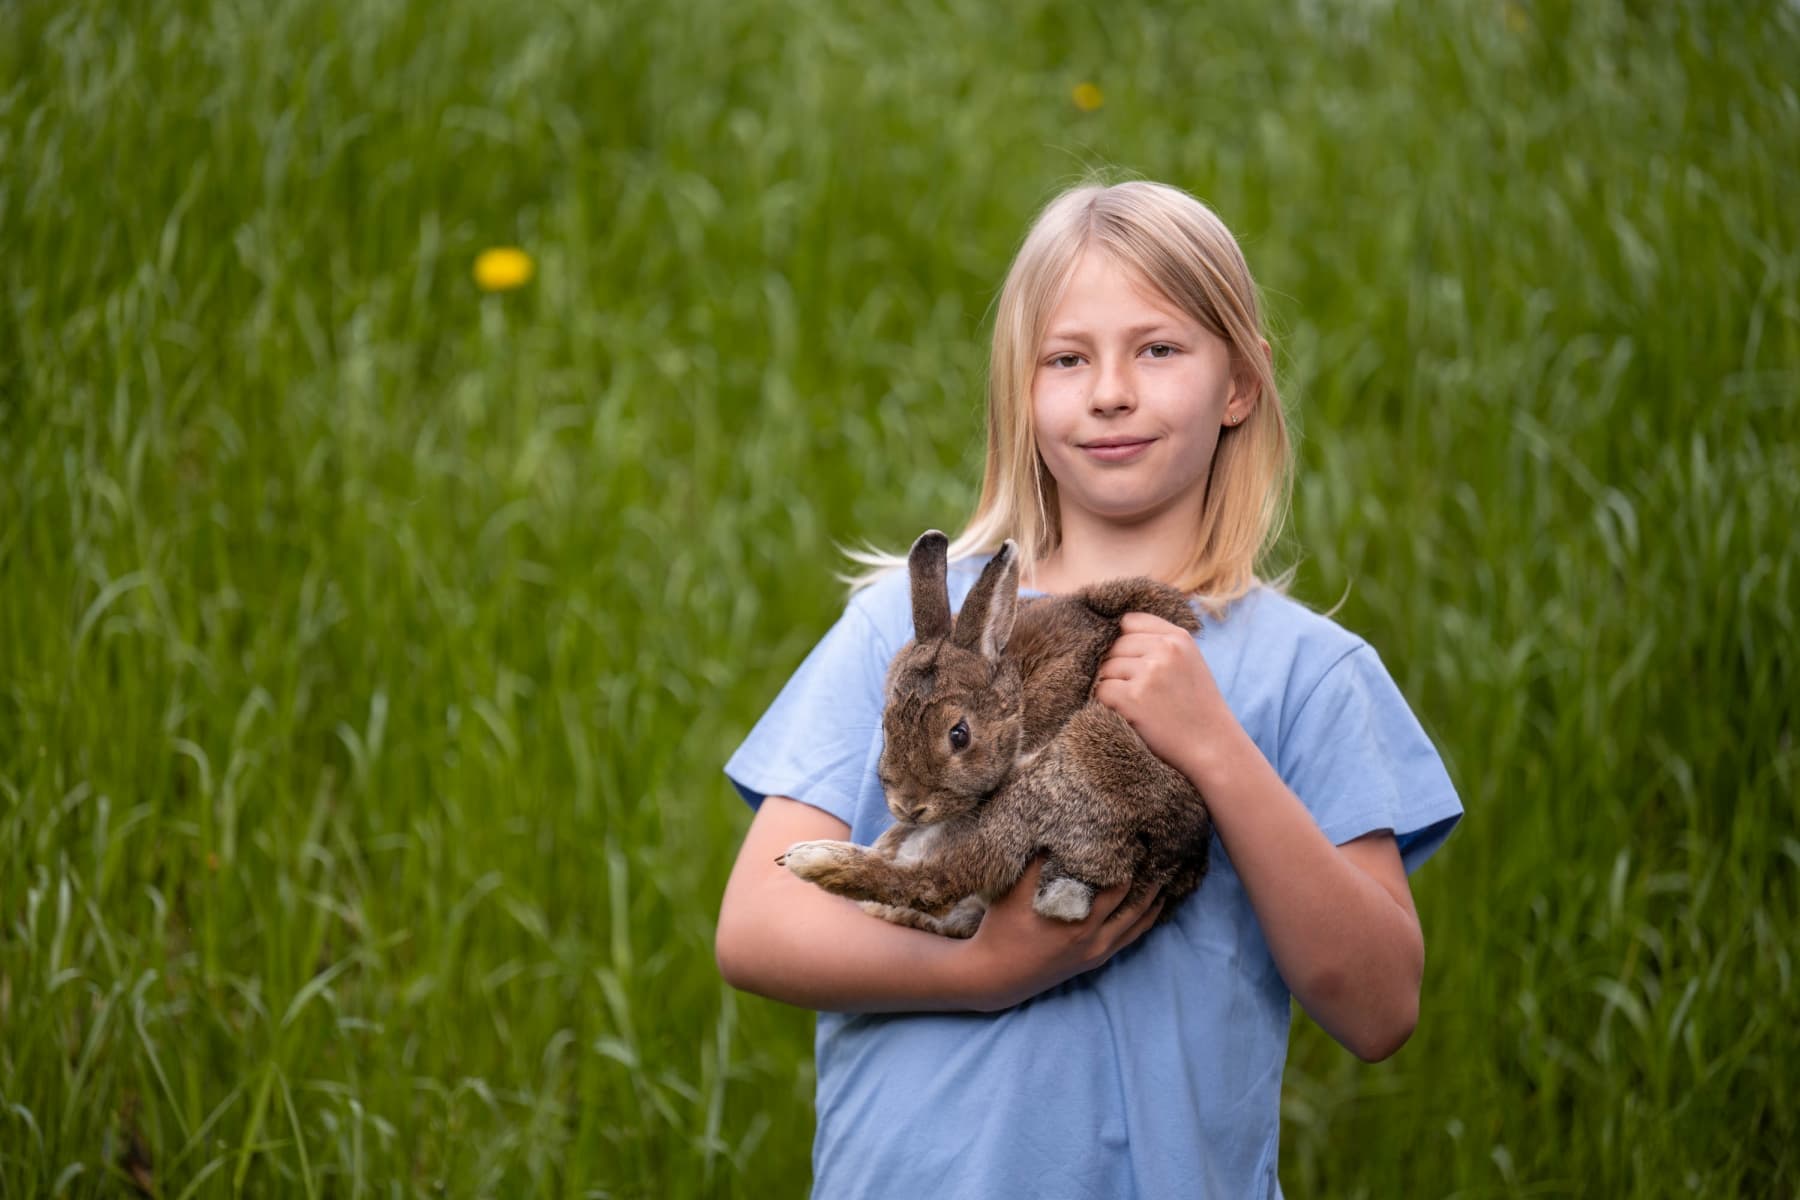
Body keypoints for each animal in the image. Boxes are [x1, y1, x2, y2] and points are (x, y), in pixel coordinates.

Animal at [784, 532, 1216, 935]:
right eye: (887, 729)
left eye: (959, 735)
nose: (909, 806)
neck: (1016, 691)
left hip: (1065, 772)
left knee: (937, 881)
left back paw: (814, 860)